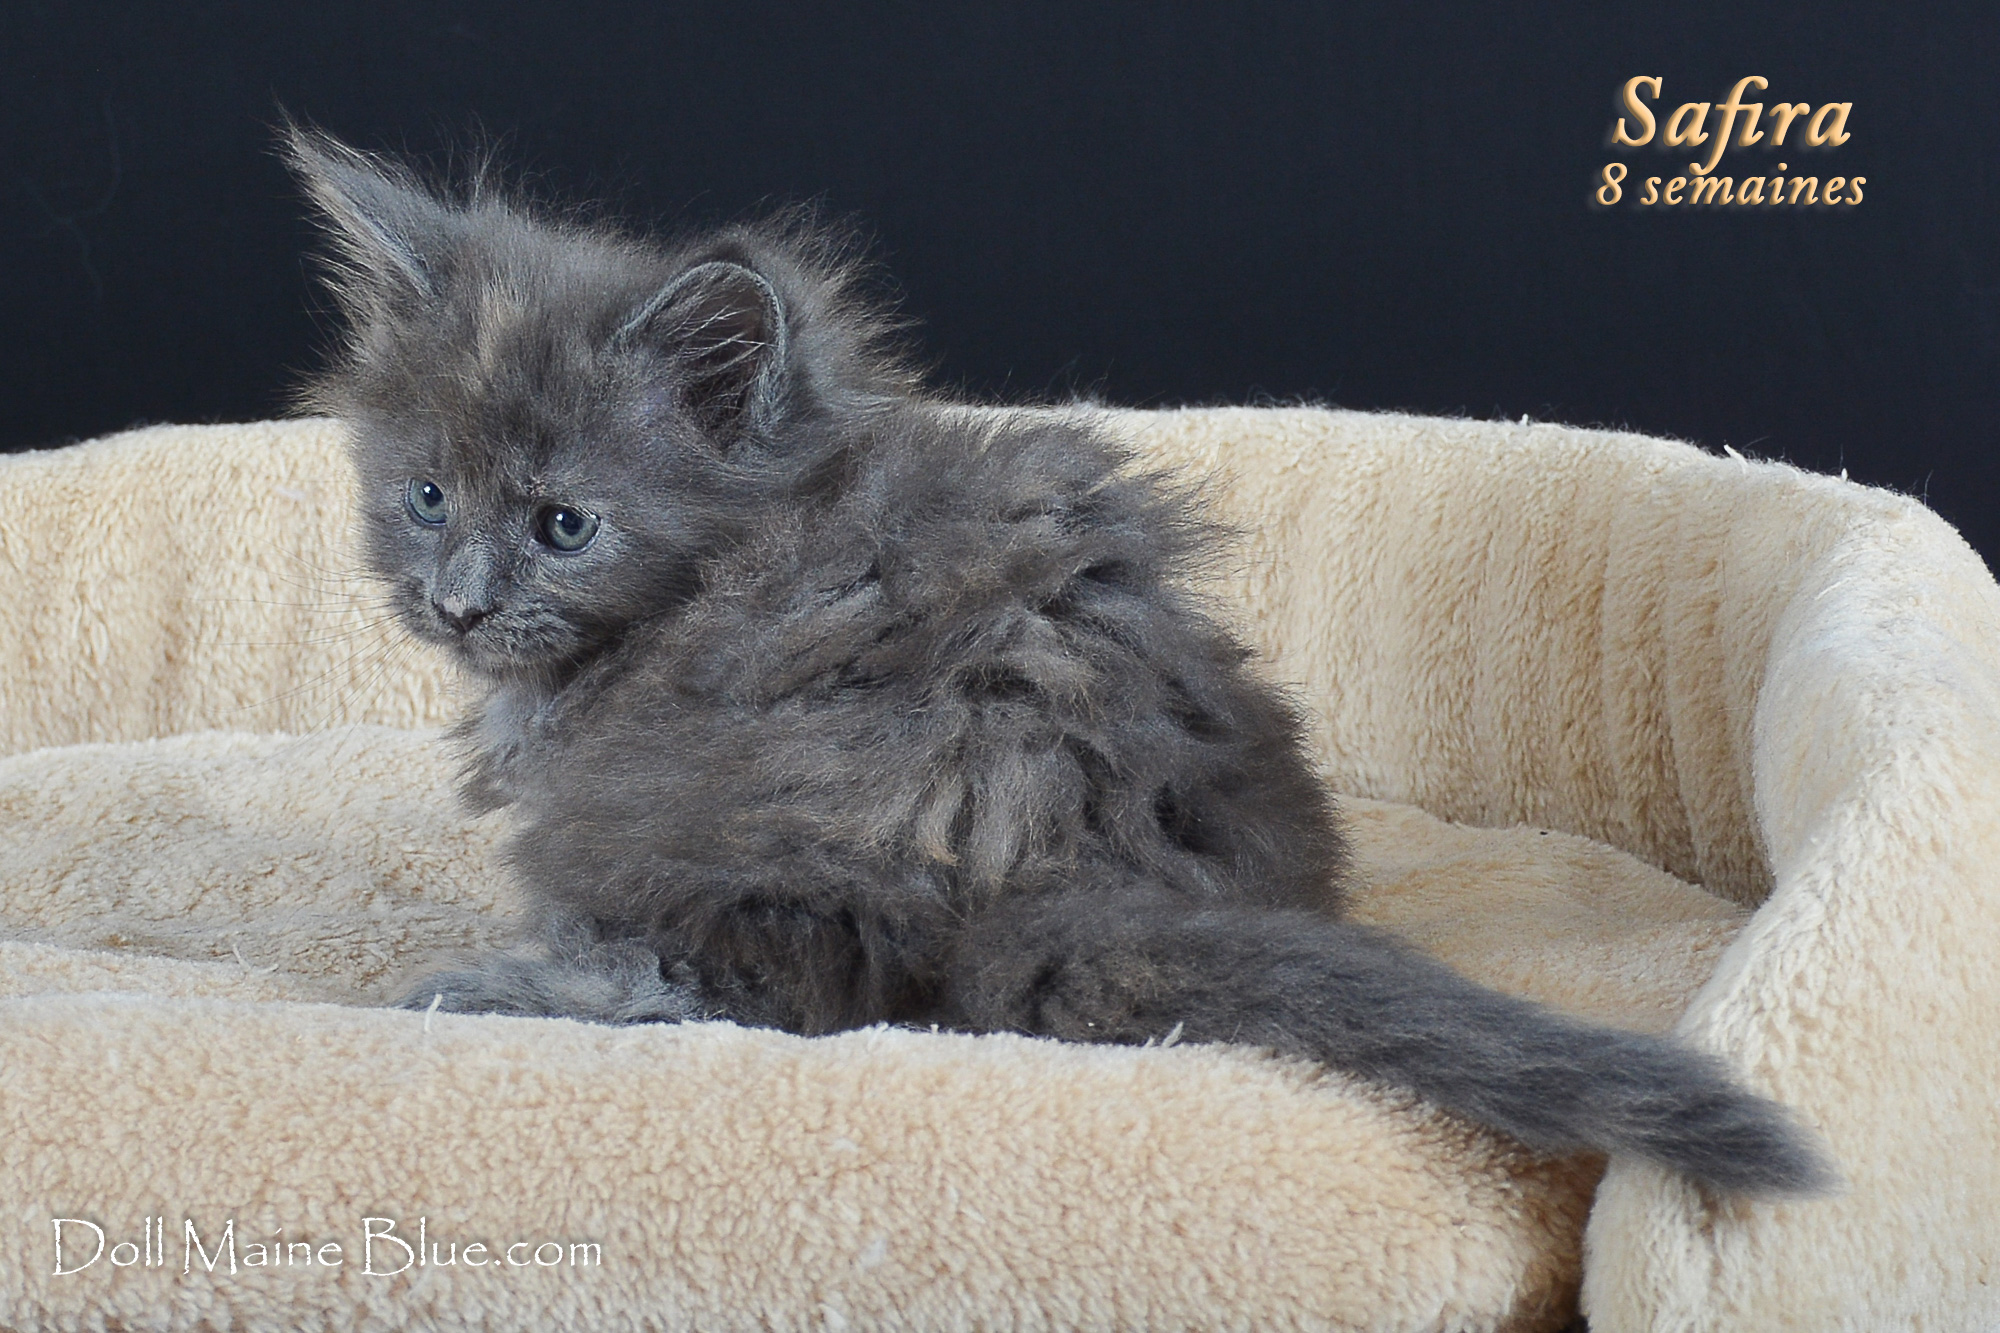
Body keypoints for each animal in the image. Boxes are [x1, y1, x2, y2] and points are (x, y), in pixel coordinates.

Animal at [286, 126, 1832, 1197]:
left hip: (679, 831)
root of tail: (1056, 848)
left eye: (565, 524)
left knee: (768, 997)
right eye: (426, 497)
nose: (458, 603)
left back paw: (497, 987)